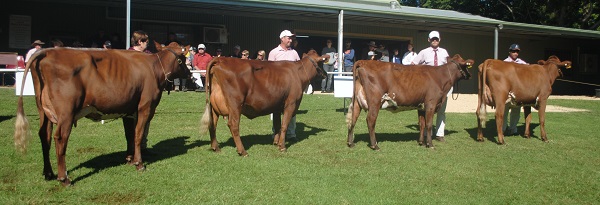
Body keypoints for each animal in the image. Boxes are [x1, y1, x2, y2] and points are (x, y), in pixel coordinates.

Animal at [13, 41, 190, 186]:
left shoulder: (128, 110)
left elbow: (130, 135)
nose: (190, 74)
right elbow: (138, 135)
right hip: (66, 113)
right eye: (184, 57)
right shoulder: (145, 107)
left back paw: (48, 173)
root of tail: (48, 52)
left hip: (43, 110)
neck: (154, 68)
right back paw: (64, 179)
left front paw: (129, 159)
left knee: (45, 135)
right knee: (60, 138)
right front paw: (139, 163)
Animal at [346, 54, 474, 149]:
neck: (441, 78)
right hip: (375, 101)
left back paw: (350, 143)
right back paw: (375, 145)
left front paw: (421, 142)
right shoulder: (431, 103)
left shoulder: (421, 106)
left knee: (353, 119)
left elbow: (422, 124)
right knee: (370, 120)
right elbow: (428, 125)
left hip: (357, 102)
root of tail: (364, 62)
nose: (470, 76)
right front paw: (430, 144)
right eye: (466, 66)